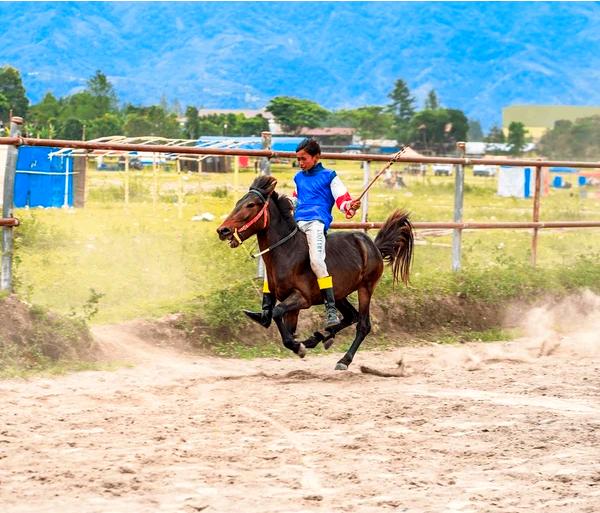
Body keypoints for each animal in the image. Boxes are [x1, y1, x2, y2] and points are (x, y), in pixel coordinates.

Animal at [218, 175, 414, 368]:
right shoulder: (290, 303)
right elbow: (282, 325)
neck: (287, 251)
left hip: (366, 287)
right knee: (351, 316)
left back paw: (343, 359)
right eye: (239, 202)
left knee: (363, 324)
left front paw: (299, 347)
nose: (223, 230)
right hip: (339, 294)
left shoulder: (302, 298)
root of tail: (373, 245)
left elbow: (277, 313)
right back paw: (321, 337)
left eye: (251, 205)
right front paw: (301, 342)